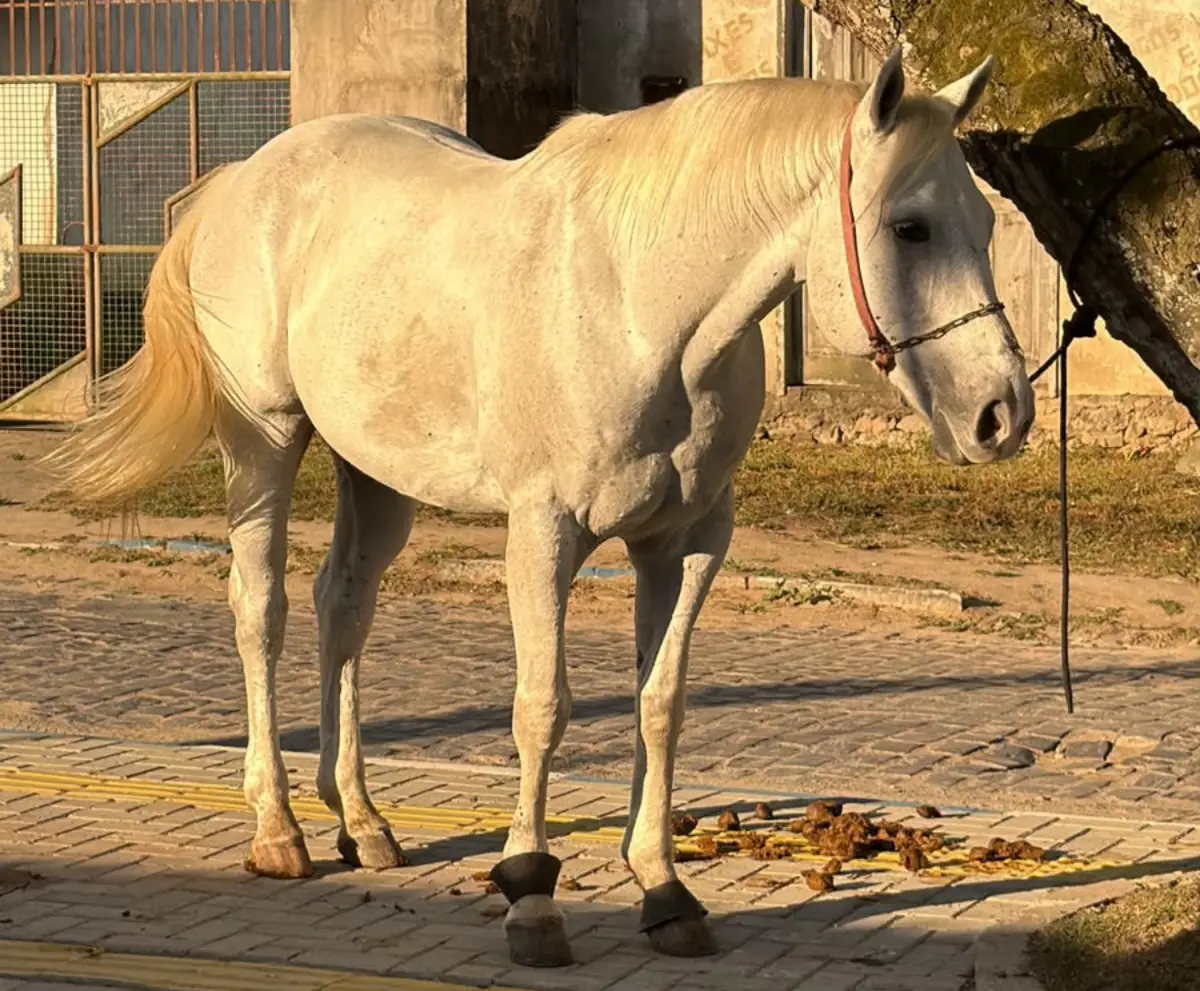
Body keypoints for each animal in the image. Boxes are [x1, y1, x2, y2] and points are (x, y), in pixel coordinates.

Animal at [51, 50, 1033, 968]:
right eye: (909, 227)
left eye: (986, 222)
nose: (1003, 414)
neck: (639, 306)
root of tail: (239, 182)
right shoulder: (543, 533)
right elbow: (542, 707)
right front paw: (531, 893)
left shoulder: (686, 542)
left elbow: (660, 703)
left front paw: (664, 889)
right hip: (264, 443)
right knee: (262, 610)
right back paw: (279, 829)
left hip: (376, 473)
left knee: (343, 607)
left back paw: (362, 821)